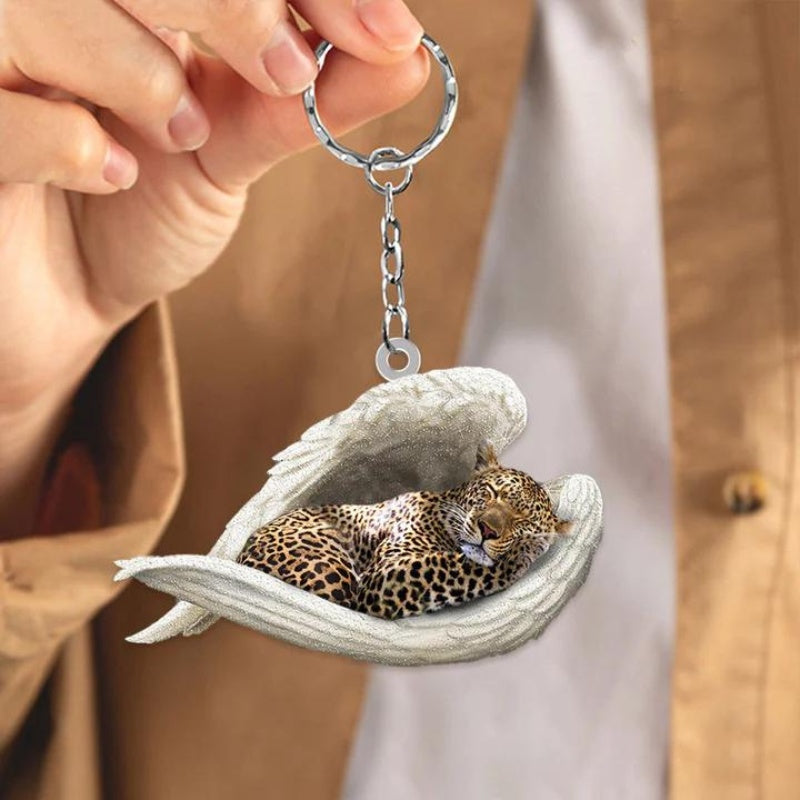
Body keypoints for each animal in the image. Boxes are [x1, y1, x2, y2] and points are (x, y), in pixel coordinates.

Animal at [236, 443, 571, 620]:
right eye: (491, 493)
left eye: (523, 521)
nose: (487, 530)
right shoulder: (383, 576)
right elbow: (449, 566)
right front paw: (523, 552)